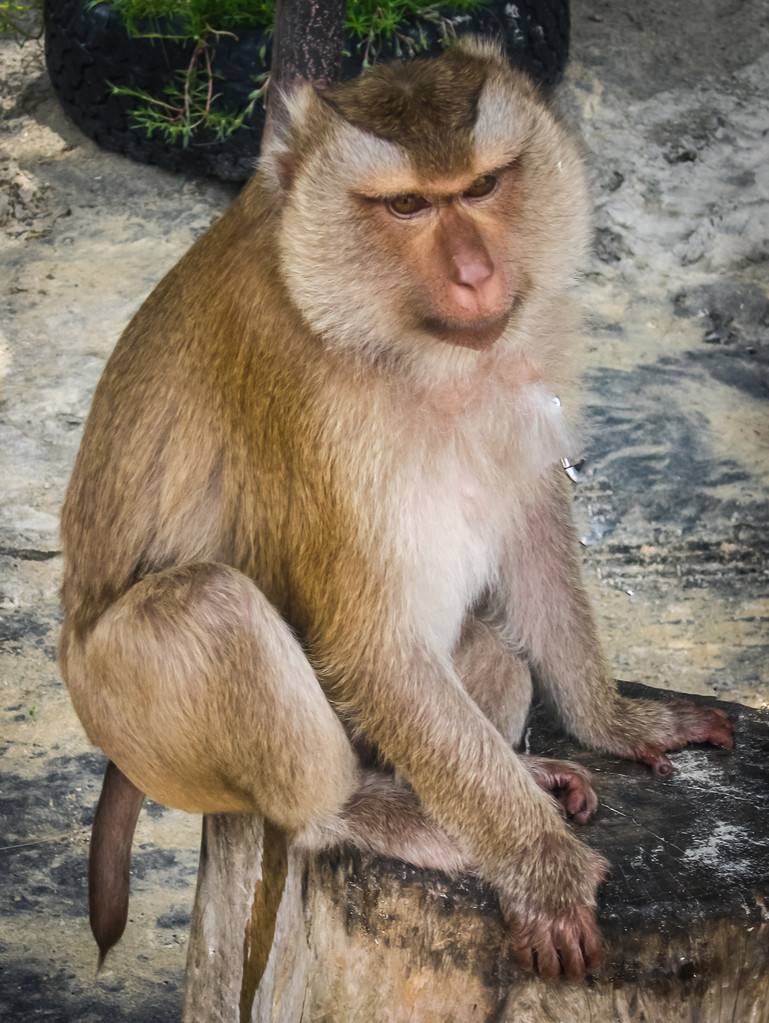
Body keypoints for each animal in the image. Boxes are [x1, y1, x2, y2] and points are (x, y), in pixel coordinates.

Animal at [58, 37, 732, 982]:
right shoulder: (306, 395)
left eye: (481, 187)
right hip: (124, 709)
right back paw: (359, 812)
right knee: (207, 606)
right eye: (407, 205)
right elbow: (367, 641)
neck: (407, 346)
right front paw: (542, 868)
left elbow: (528, 519)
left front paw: (615, 721)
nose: (477, 274)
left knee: (495, 661)